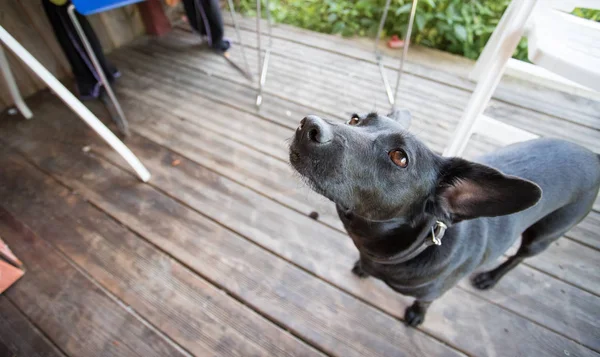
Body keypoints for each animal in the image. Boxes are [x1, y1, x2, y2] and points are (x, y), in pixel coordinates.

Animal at [290, 110, 600, 326]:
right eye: (355, 119)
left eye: (400, 157)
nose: (308, 125)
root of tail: (593, 156)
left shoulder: (431, 294)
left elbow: (424, 303)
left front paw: (416, 315)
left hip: (544, 235)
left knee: (518, 257)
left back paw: (490, 278)